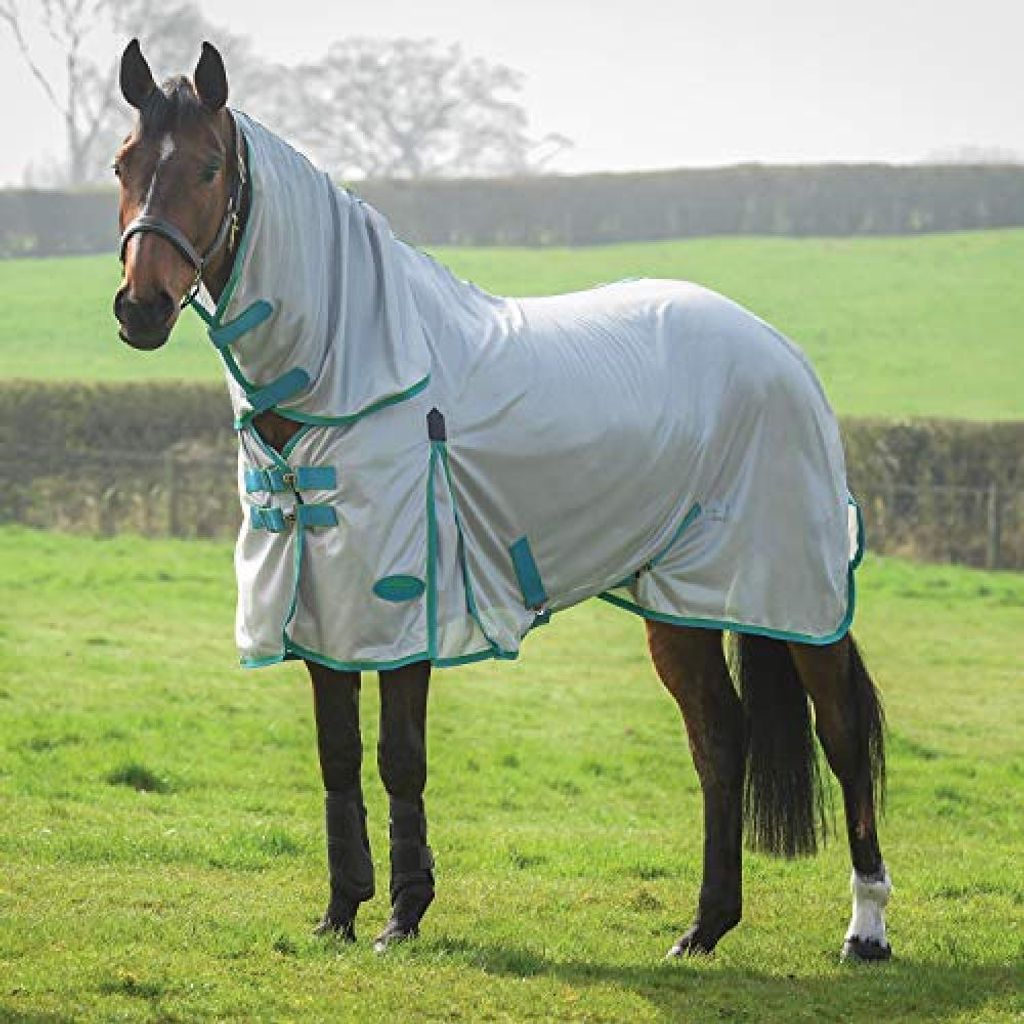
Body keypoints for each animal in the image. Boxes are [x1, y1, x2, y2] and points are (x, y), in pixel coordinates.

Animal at [112, 39, 892, 961]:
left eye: (205, 168)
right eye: (124, 163)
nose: (140, 307)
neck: (356, 364)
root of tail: (783, 353)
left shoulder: (399, 606)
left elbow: (398, 756)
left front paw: (403, 915)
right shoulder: (321, 603)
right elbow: (338, 755)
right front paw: (339, 912)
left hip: (796, 591)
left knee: (842, 736)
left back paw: (865, 930)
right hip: (682, 600)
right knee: (719, 739)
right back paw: (704, 927)